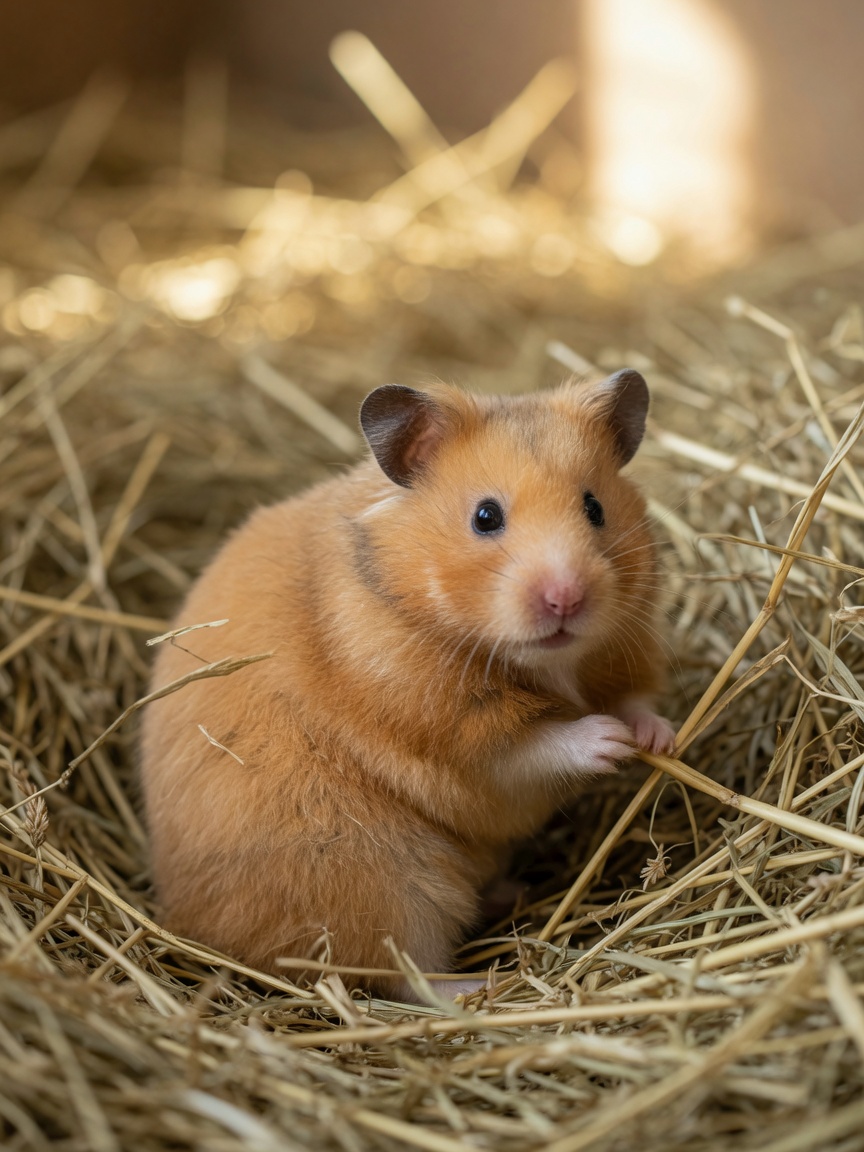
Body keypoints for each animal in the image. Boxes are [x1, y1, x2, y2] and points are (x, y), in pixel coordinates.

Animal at [139, 371, 674, 1002]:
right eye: (485, 517)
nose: (566, 599)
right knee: (407, 976)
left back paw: (507, 893)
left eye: (594, 507)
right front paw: (609, 741)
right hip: (377, 884)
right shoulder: (451, 735)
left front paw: (657, 739)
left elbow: (635, 699)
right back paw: (482, 982)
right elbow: (536, 746)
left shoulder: (626, 646)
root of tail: (186, 925)